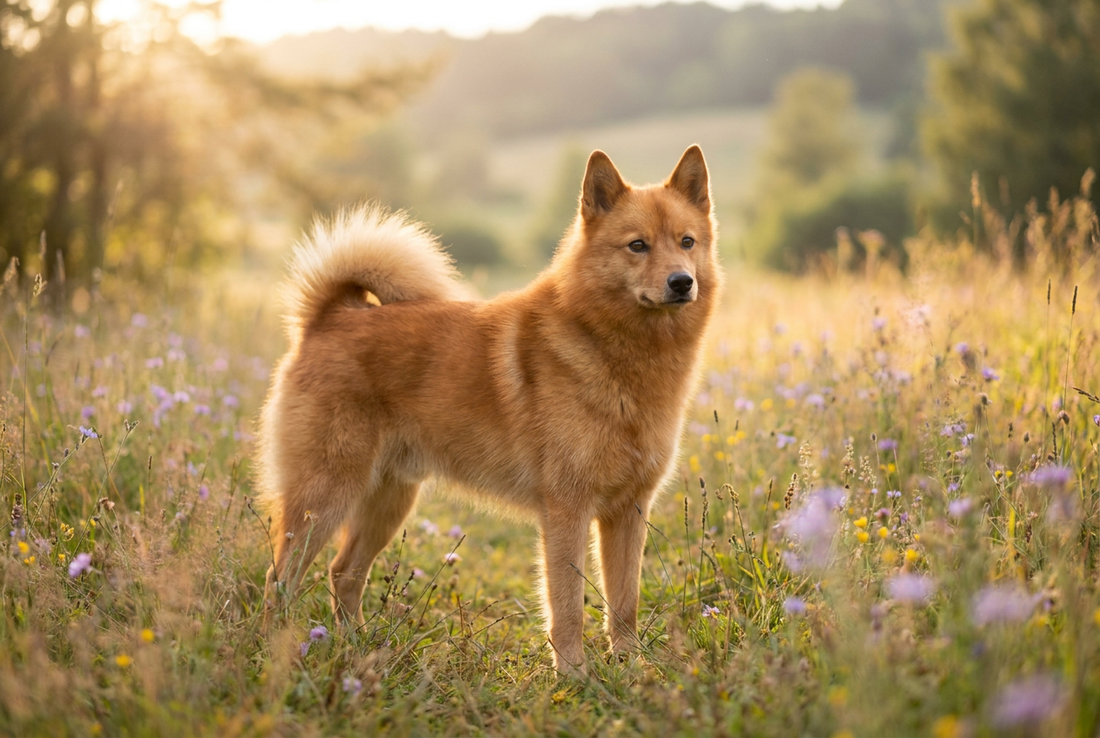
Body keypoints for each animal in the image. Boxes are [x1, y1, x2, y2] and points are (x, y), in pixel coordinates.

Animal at [258, 145, 723, 676]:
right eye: (638, 245)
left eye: (686, 241)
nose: (681, 281)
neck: (621, 355)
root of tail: (330, 317)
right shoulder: (567, 511)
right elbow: (567, 606)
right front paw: (574, 676)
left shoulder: (628, 512)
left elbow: (624, 603)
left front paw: (629, 669)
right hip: (324, 497)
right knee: (280, 580)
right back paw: (279, 653)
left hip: (387, 500)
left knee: (344, 573)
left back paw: (356, 648)